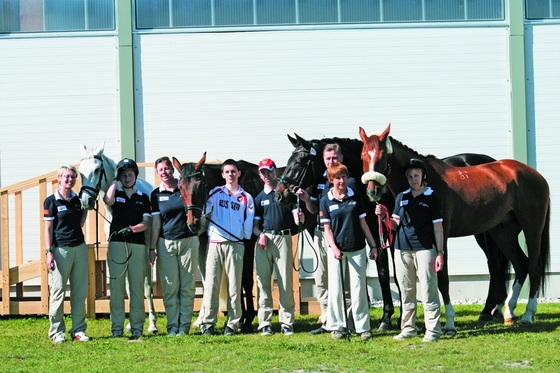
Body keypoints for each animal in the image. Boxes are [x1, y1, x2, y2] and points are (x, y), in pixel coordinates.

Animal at [274, 134, 512, 332]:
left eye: (300, 161)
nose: (280, 195)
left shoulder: (388, 233)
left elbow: (392, 274)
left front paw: (393, 318)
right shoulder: (375, 233)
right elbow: (384, 272)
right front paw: (390, 318)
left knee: (496, 263)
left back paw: (493, 310)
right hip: (487, 230)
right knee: (496, 263)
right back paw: (493, 310)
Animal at [360, 124, 548, 326]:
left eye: (383, 156)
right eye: (363, 156)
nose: (373, 191)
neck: (427, 183)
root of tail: (535, 174)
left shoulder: (440, 236)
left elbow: (443, 278)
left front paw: (449, 321)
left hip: (532, 229)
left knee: (533, 266)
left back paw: (527, 314)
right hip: (503, 233)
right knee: (520, 264)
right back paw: (509, 312)